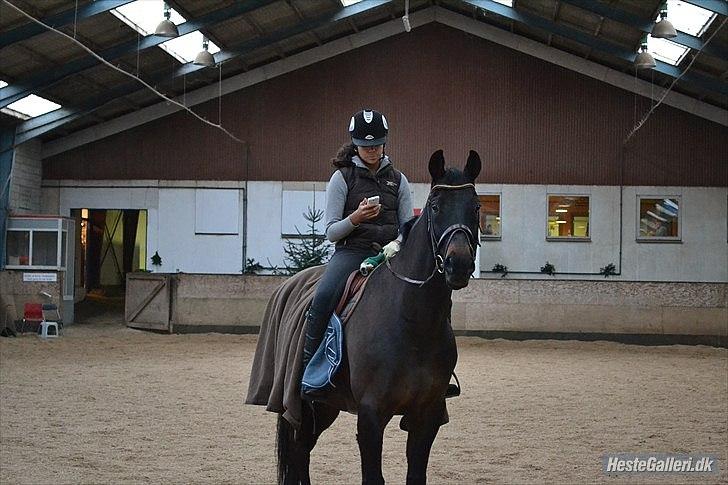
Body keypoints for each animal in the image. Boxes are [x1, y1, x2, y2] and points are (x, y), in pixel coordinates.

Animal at [272, 149, 478, 482]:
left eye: (476, 206)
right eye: (435, 207)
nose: (457, 264)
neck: (413, 322)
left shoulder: (427, 415)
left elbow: (416, 475)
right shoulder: (370, 416)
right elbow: (373, 477)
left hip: (325, 407)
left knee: (301, 451)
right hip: (304, 405)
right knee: (299, 449)